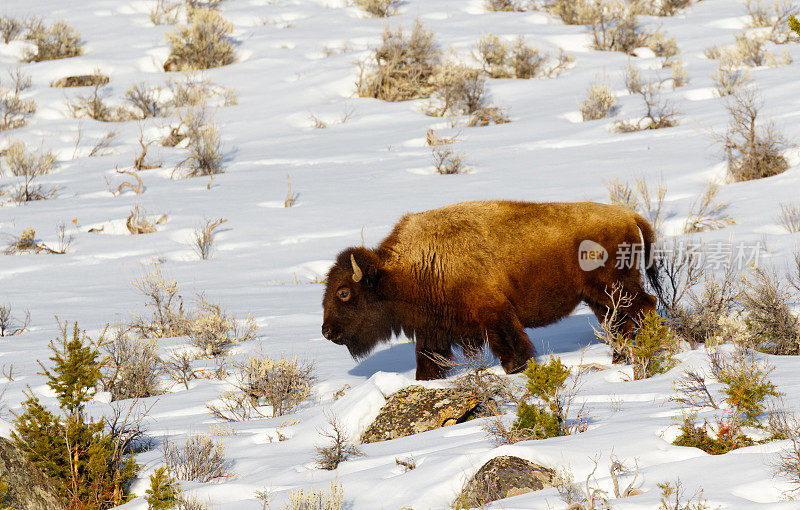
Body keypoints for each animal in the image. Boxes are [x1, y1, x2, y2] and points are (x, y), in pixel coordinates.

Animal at [322, 201, 660, 380]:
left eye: (343, 292)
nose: (326, 331)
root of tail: (629, 215)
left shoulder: (495, 314)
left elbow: (510, 347)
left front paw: (516, 368)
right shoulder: (433, 330)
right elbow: (428, 362)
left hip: (616, 288)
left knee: (646, 306)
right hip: (599, 298)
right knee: (618, 323)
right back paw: (619, 357)